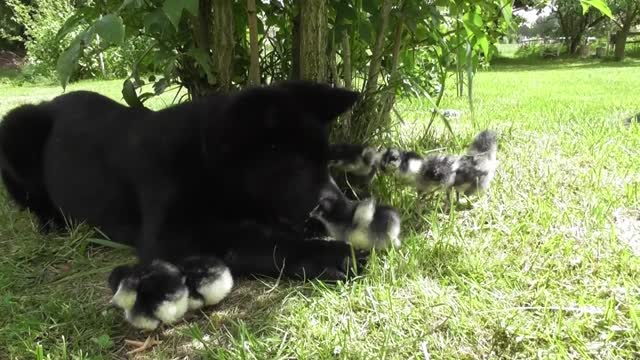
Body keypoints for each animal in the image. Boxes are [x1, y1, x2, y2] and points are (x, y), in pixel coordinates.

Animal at [0, 81, 360, 282]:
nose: (342, 211)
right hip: (15, 127)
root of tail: (50, 102)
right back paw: (51, 223)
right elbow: (254, 241)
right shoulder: (168, 238)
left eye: (325, 159)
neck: (202, 156)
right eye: (295, 163)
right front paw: (329, 255)